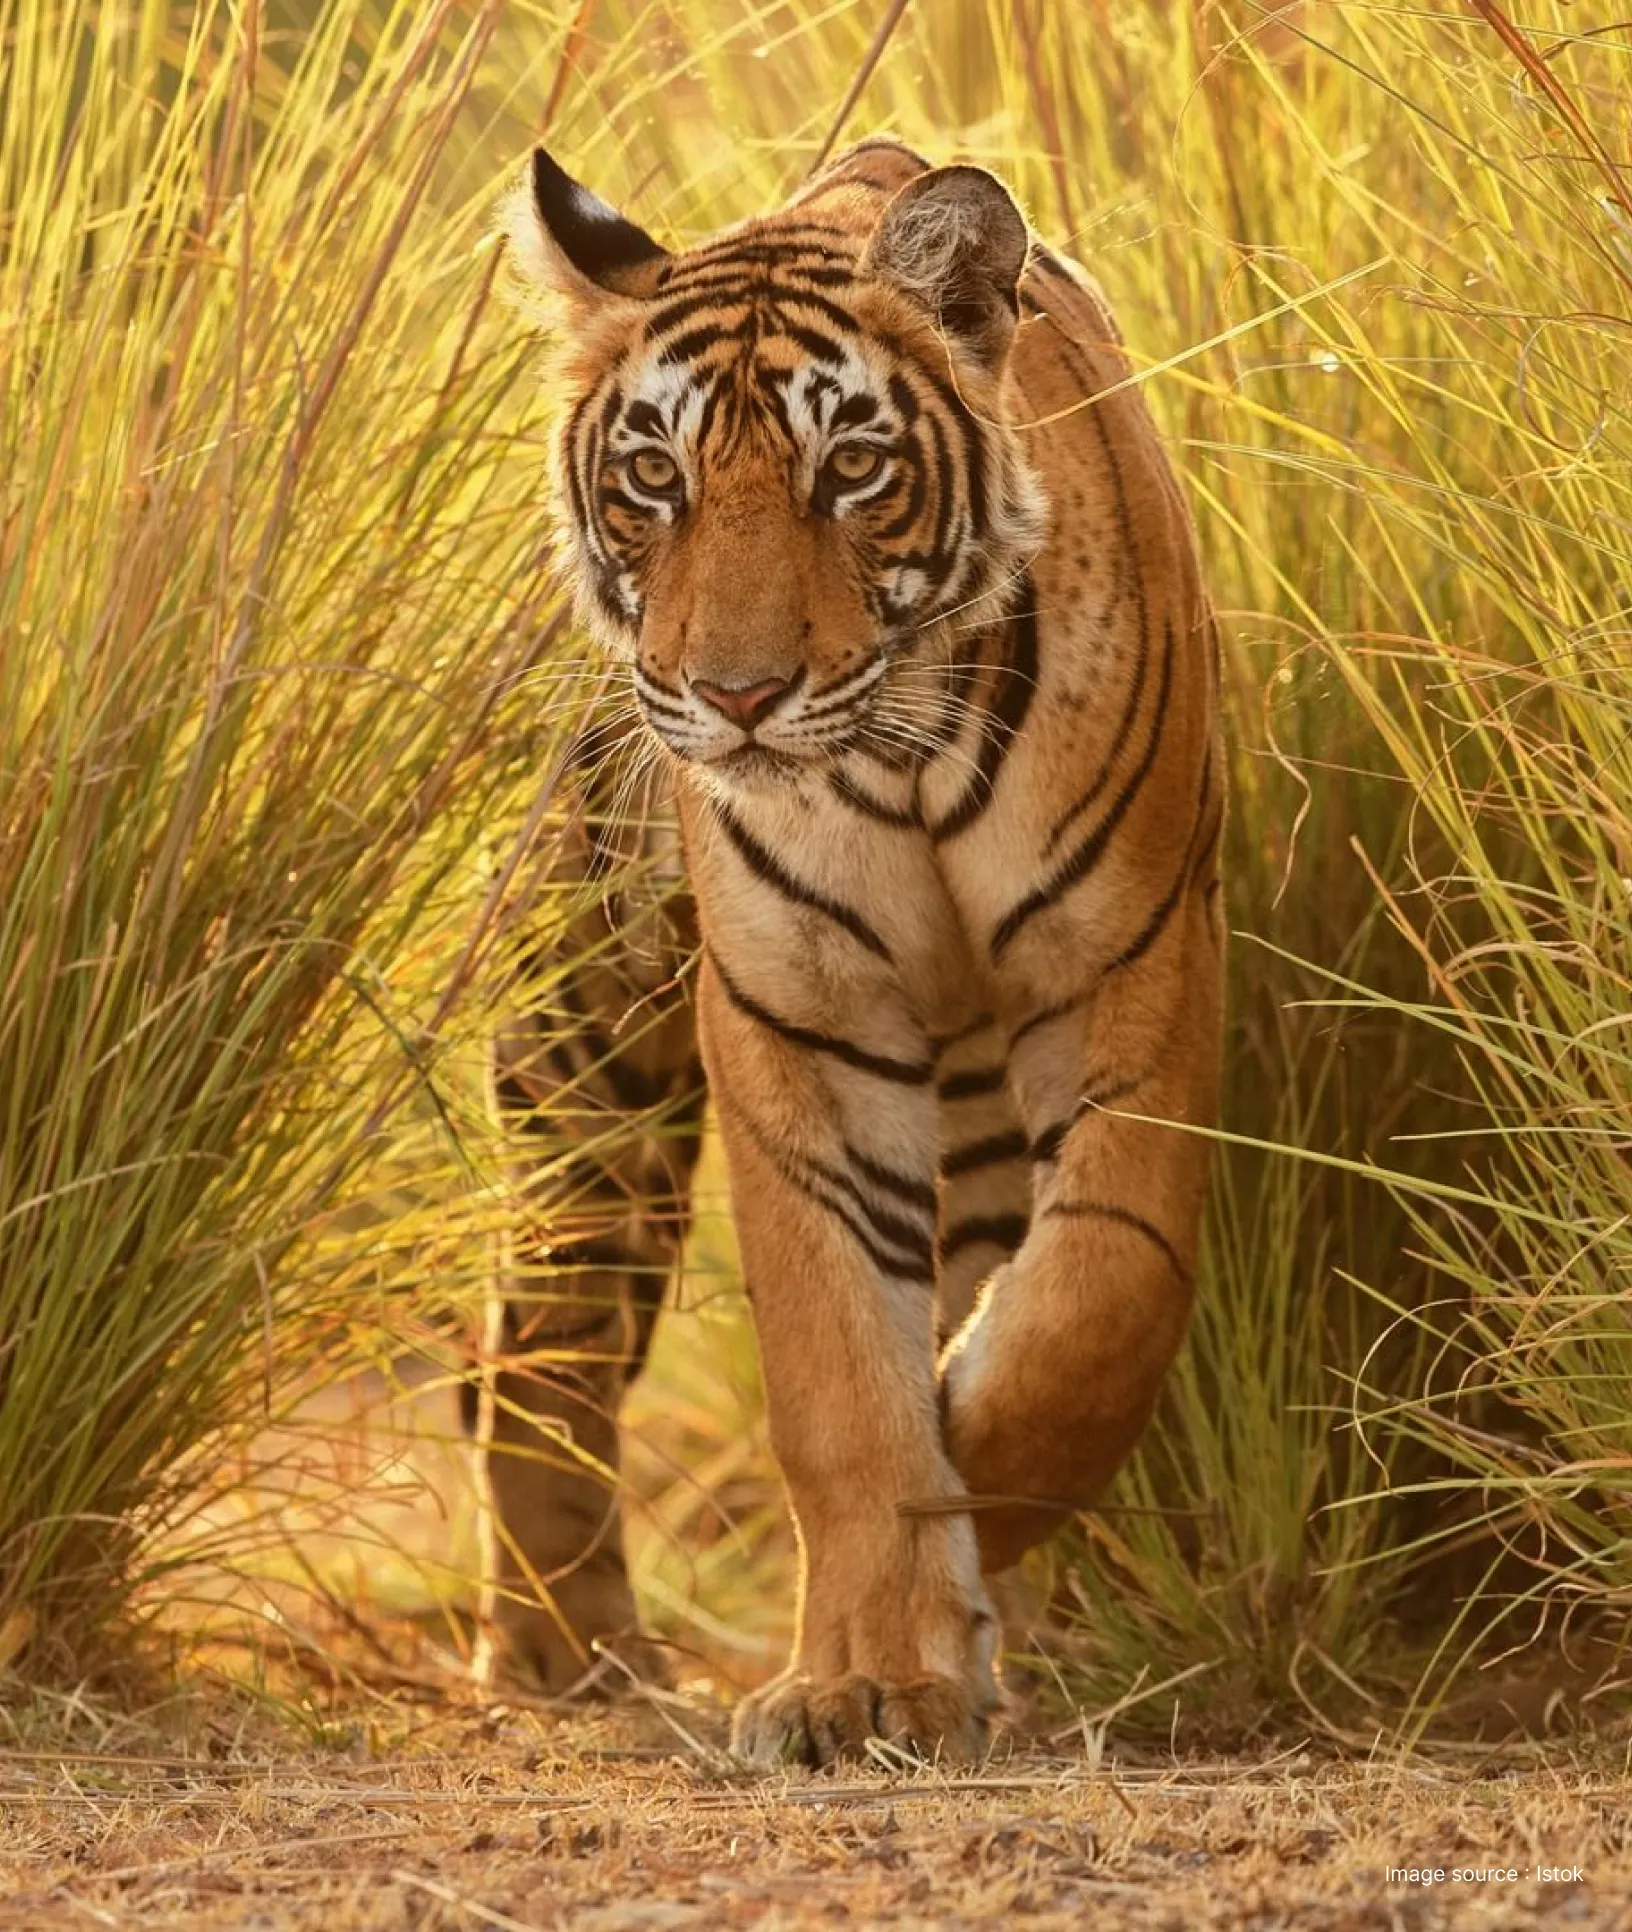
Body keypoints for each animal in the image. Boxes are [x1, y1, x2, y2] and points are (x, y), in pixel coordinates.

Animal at [484, 135, 1225, 1766]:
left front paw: (971, 1488)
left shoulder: (1128, 965)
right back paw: (569, 1652)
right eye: (656, 476)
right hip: (585, 1055)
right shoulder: (801, 1021)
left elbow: (1095, 1302)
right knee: (539, 1346)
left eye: (854, 469)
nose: (737, 694)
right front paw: (871, 1680)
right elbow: (838, 1371)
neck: (903, 758)